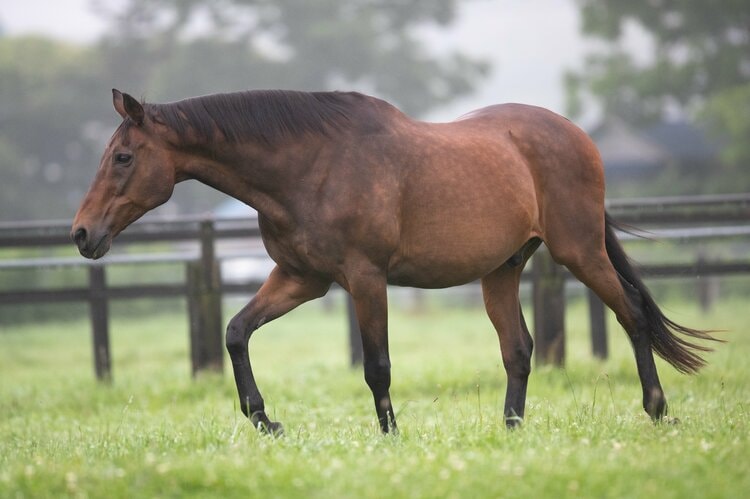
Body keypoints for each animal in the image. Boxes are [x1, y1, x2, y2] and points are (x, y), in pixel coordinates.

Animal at [71, 89, 716, 434]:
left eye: (124, 157)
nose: (81, 234)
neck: (311, 166)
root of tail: (578, 136)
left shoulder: (365, 278)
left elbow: (376, 365)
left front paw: (390, 435)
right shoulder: (301, 280)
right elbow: (235, 331)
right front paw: (264, 419)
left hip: (578, 250)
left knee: (631, 314)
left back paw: (657, 409)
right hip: (503, 269)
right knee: (519, 349)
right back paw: (511, 429)